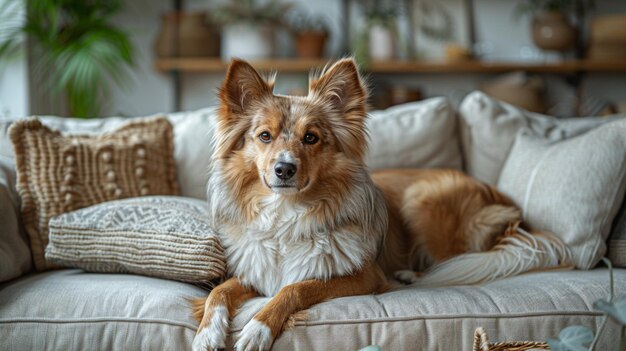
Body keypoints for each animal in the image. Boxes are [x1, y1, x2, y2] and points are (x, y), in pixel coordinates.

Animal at [191, 58, 572, 351]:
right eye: (264, 136)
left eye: (311, 138)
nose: (284, 169)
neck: (288, 213)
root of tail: (497, 195)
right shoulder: (254, 271)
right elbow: (220, 292)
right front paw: (208, 332)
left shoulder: (363, 275)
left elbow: (294, 288)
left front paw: (257, 328)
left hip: (423, 203)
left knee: (456, 257)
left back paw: (410, 274)